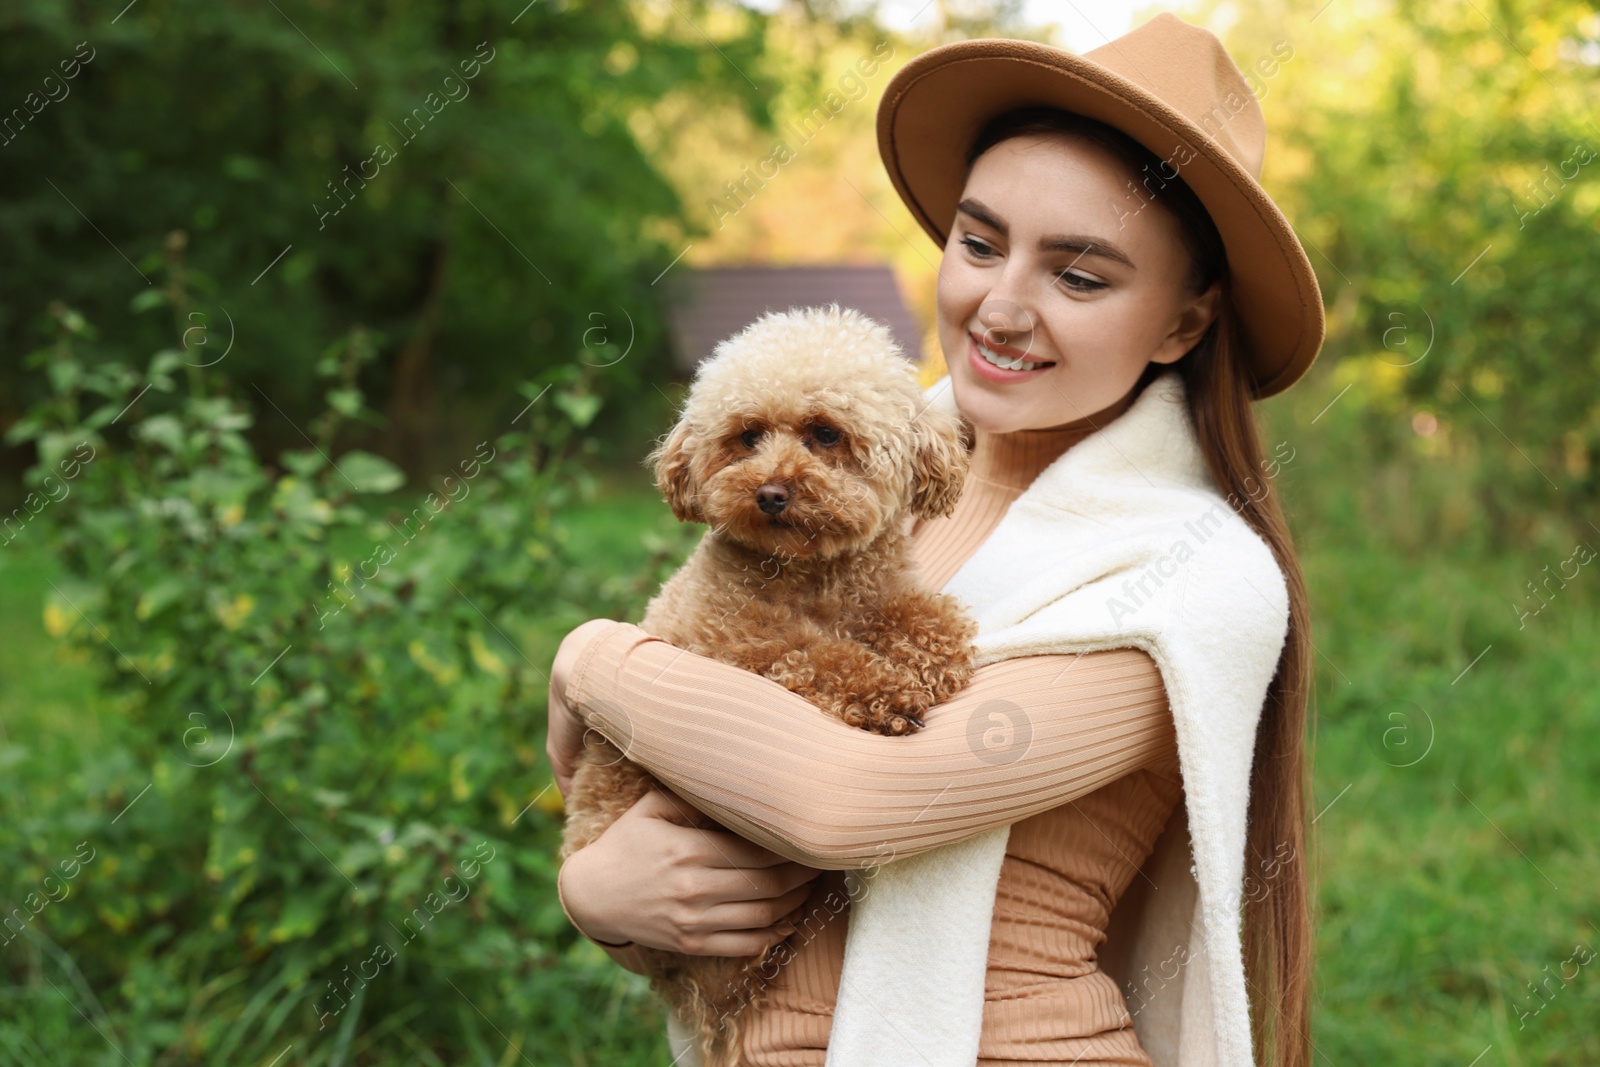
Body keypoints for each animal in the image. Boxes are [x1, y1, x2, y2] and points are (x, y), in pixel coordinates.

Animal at [556, 303, 979, 1062]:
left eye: (826, 433)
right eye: (747, 435)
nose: (771, 492)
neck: (812, 577)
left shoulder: (878, 590)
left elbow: (915, 611)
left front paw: (939, 649)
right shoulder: (739, 645)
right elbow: (821, 655)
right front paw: (892, 692)